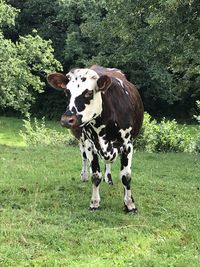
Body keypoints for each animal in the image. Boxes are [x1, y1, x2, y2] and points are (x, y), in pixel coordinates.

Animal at [47, 65, 143, 214]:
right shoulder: (89, 144)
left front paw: (129, 204)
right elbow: (95, 175)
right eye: (67, 92)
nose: (67, 120)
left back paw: (108, 179)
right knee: (84, 159)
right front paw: (95, 202)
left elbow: (126, 176)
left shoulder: (128, 144)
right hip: (81, 141)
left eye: (88, 93)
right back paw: (84, 176)